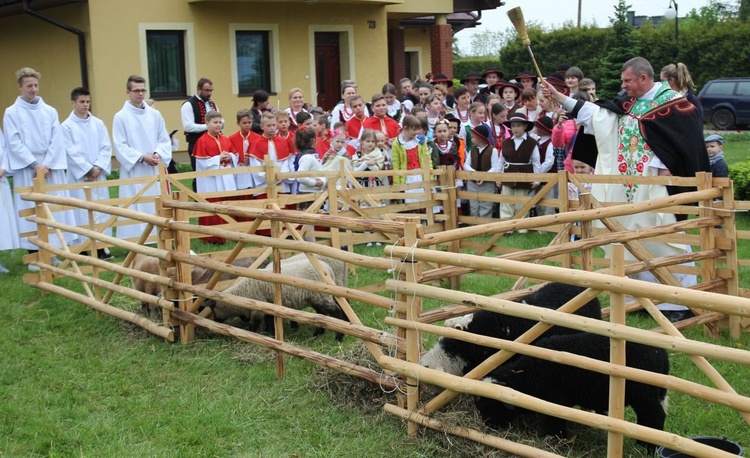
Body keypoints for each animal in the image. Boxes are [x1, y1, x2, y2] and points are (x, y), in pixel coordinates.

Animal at [207, 254, 352, 340]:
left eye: (213, 309)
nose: (216, 320)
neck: (243, 293)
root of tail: (328, 269)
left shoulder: (259, 305)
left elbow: (254, 323)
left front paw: (253, 334)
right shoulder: (268, 304)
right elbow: (269, 320)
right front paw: (271, 333)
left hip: (323, 295)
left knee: (336, 310)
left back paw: (339, 336)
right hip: (316, 297)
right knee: (322, 315)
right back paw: (318, 333)